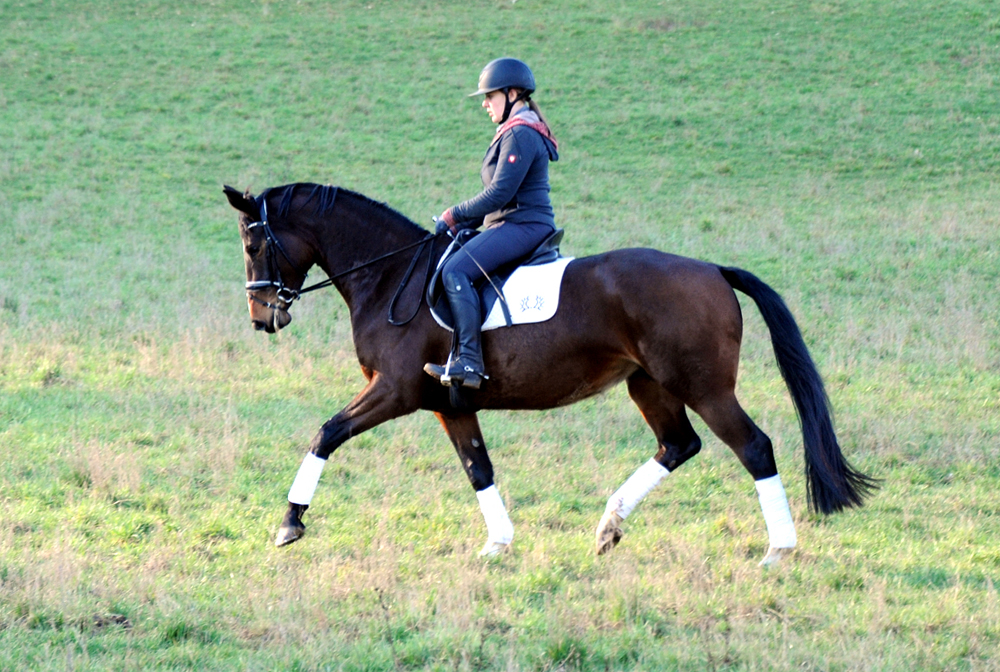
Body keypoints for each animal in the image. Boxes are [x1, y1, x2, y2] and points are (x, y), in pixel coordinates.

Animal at [225, 181, 876, 564]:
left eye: (254, 244)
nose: (262, 317)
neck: (392, 278)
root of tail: (712, 269)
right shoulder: (450, 404)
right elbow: (479, 470)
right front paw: (498, 544)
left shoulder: (395, 391)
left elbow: (325, 433)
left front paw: (289, 524)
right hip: (650, 384)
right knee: (679, 444)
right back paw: (609, 525)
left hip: (705, 387)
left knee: (755, 447)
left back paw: (778, 549)